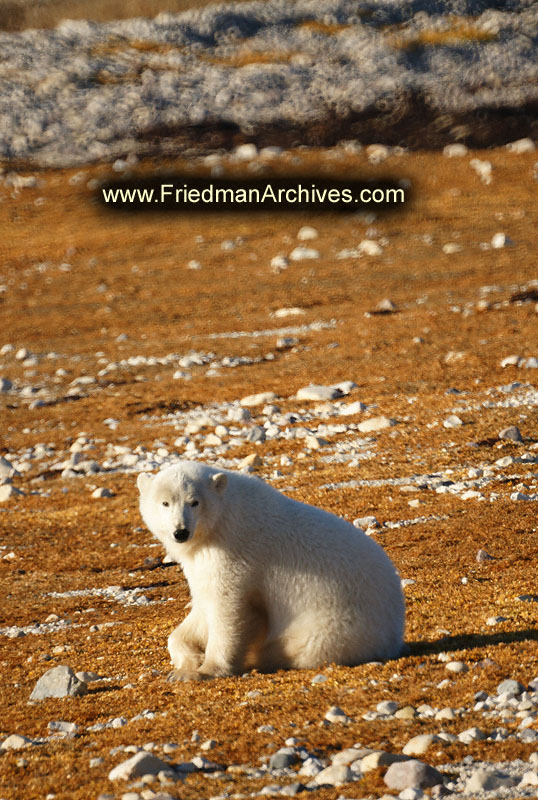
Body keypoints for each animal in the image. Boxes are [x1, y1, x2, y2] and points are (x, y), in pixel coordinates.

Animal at [136, 460, 404, 680]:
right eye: (165, 502)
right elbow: (203, 608)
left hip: (333, 622)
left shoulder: (235, 553)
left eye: (194, 502)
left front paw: (203, 671)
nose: (180, 532)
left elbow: (228, 609)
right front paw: (187, 663)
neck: (222, 520)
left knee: (300, 647)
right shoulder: (202, 562)